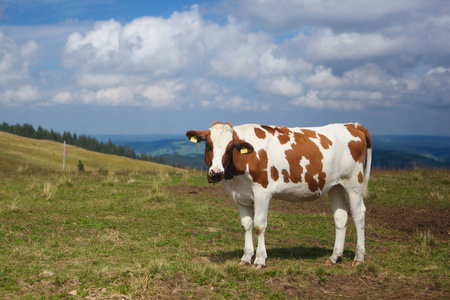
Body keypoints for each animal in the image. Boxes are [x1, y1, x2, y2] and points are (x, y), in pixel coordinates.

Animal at [186, 122, 372, 270]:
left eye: (230, 147)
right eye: (208, 146)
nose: (216, 172)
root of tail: (352, 125)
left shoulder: (262, 192)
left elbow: (259, 226)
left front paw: (259, 260)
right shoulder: (241, 196)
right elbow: (246, 225)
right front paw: (246, 258)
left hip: (354, 182)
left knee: (359, 215)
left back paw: (359, 258)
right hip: (335, 186)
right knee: (340, 217)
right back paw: (334, 257)